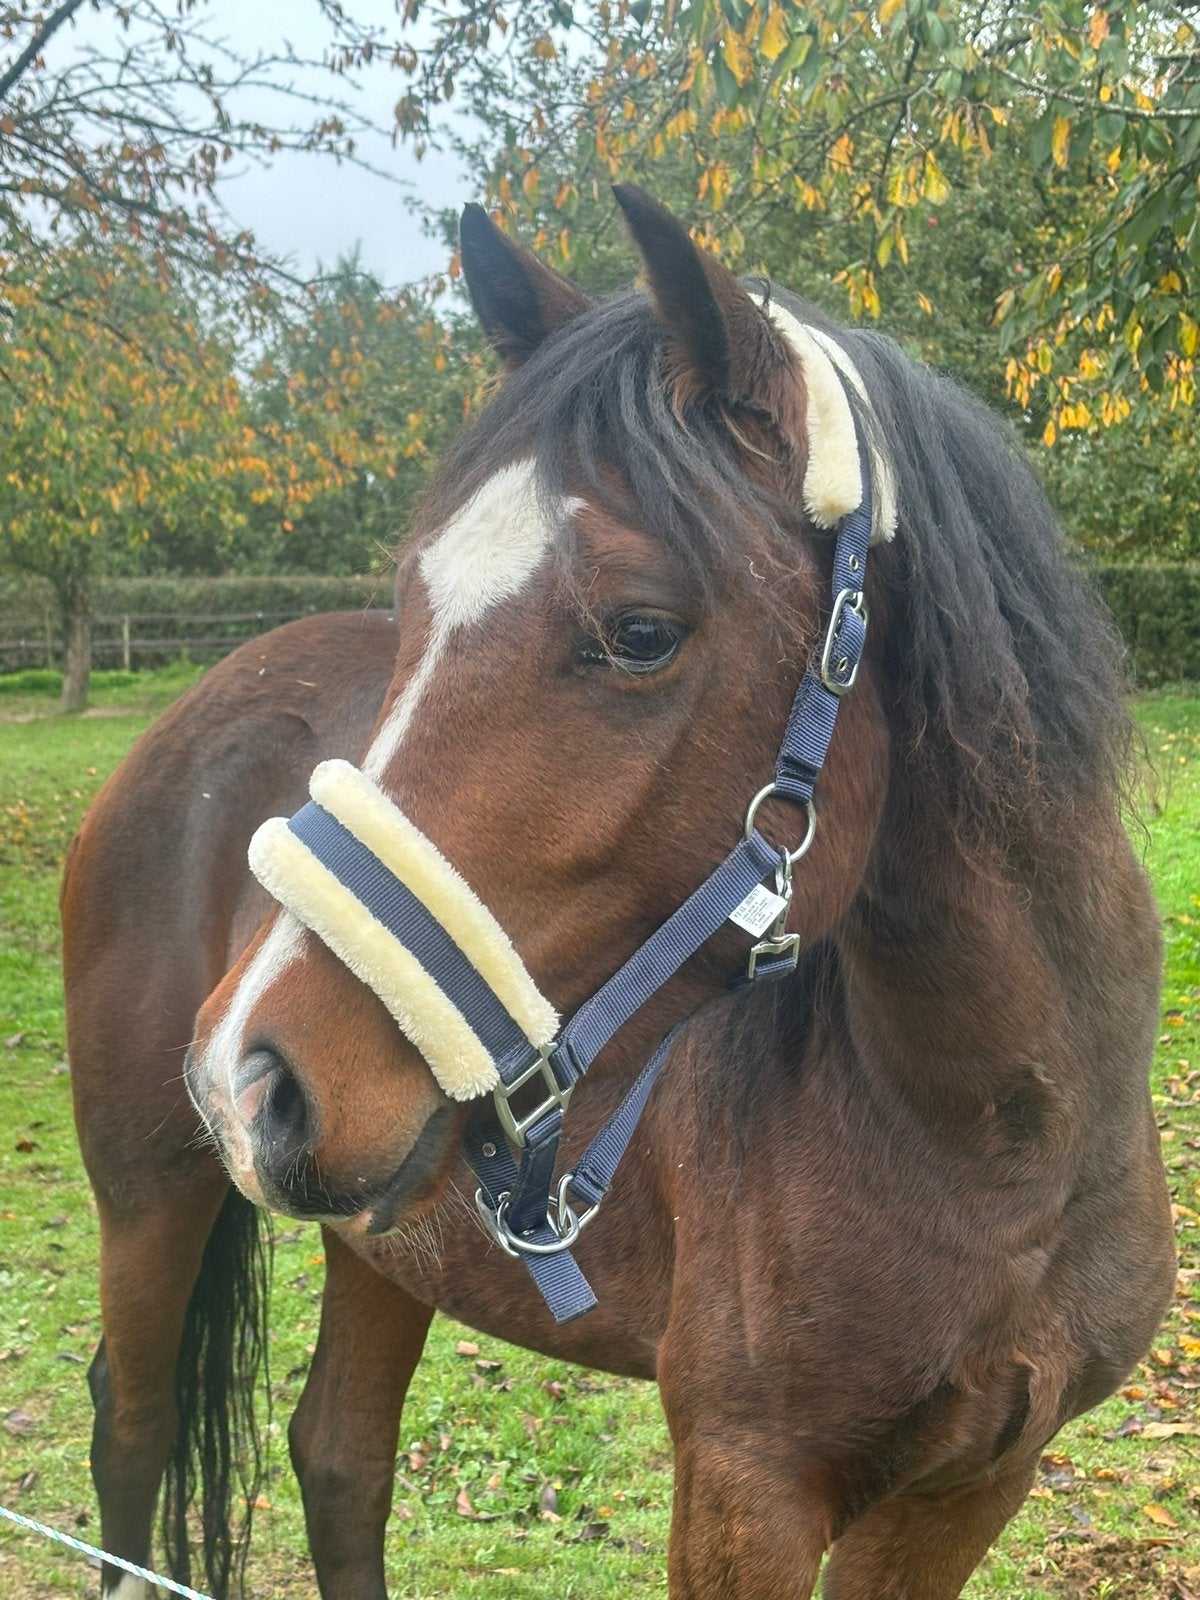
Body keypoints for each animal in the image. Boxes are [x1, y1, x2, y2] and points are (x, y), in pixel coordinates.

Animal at [61, 186, 1174, 1600]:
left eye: (640, 632)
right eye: (413, 600)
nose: (250, 1076)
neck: (998, 1143)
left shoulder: (969, 1486)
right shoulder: (748, 1490)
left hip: (384, 1233)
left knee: (339, 1457)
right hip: (150, 1200)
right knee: (136, 1436)